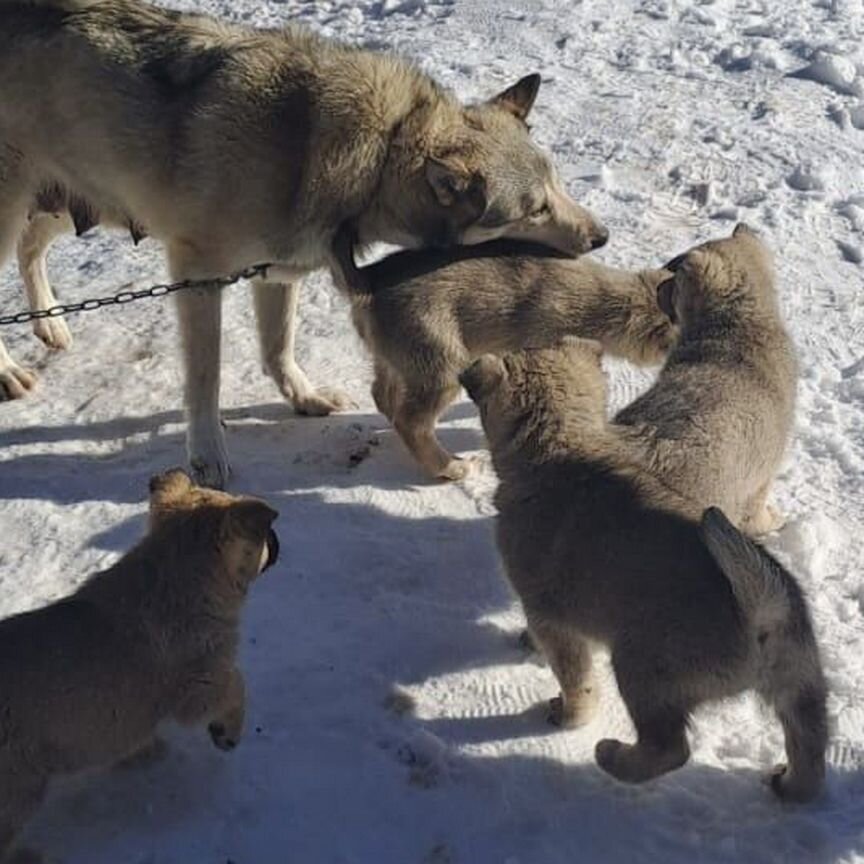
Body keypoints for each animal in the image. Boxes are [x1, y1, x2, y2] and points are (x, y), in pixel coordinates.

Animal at [462, 340, 828, 804]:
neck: (562, 446)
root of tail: (762, 615)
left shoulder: (552, 621)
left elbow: (576, 680)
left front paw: (569, 715)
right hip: (801, 685)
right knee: (809, 753)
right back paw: (788, 783)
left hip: (641, 669)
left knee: (670, 748)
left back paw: (613, 756)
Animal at [616, 223, 796, 532]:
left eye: (674, 276)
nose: (657, 285)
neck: (739, 325)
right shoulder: (760, 481)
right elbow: (757, 513)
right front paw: (773, 521)